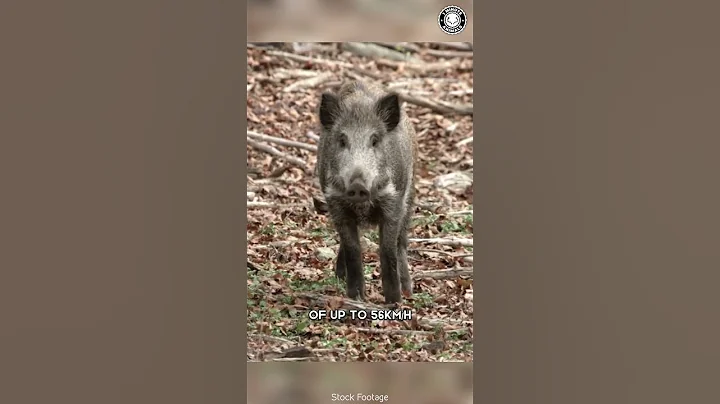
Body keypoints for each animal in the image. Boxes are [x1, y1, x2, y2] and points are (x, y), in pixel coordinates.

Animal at [316, 81, 417, 304]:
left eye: (375, 140)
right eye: (342, 140)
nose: (357, 186)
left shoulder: (393, 203)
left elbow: (388, 252)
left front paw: (394, 302)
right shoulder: (336, 205)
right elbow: (353, 250)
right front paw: (356, 299)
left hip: (409, 199)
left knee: (402, 243)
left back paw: (408, 291)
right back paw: (339, 277)